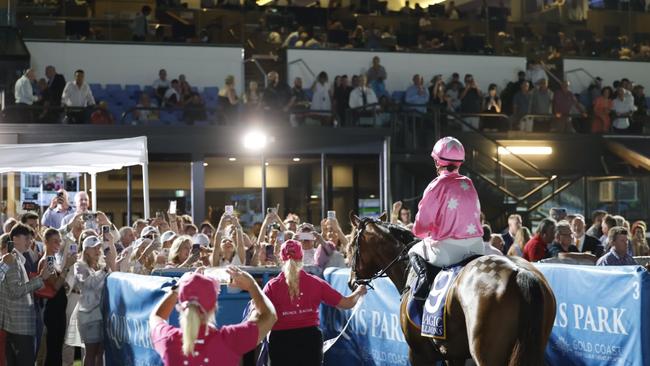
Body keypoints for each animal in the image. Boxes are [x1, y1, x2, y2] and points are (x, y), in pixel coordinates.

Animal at [346, 212, 556, 366]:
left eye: (351, 246)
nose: (351, 282)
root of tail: (519, 272)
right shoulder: (454, 355)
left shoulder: (419, 354)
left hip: (486, 354)